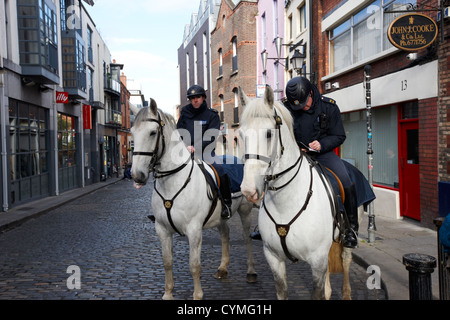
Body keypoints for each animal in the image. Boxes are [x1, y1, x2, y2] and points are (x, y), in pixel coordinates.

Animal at [130, 99, 256, 300]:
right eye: (133, 132)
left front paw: (197, 295)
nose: (137, 175)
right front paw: (168, 294)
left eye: (152, 132)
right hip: (220, 217)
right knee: (225, 234)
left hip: (245, 210)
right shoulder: (162, 230)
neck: (173, 181)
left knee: (246, 237)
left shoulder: (194, 230)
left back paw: (251, 272)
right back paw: (222, 268)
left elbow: (194, 266)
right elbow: (167, 262)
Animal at [239, 85, 356, 300]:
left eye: (269, 134)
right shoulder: (274, 258)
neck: (285, 202)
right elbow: (283, 291)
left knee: (345, 261)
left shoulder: (317, 261)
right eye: (242, 135)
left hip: (345, 239)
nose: (249, 189)